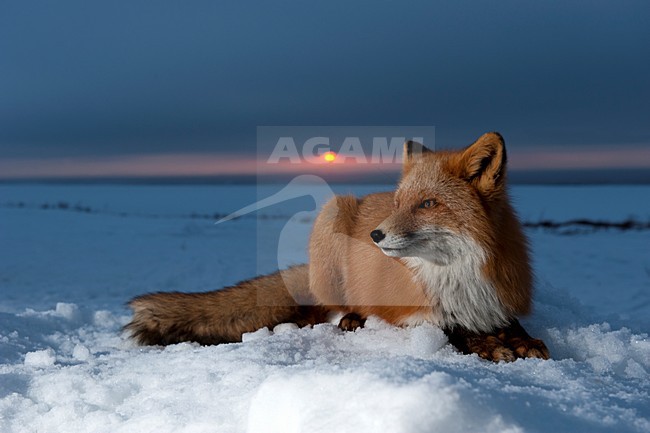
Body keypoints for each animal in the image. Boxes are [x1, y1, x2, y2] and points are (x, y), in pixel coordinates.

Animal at [126, 132, 549, 362]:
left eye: (428, 204)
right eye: (399, 203)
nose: (375, 236)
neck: (457, 275)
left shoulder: (497, 299)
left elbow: (512, 324)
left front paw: (523, 341)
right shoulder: (408, 311)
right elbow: (452, 328)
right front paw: (489, 345)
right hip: (331, 217)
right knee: (328, 311)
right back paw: (350, 320)